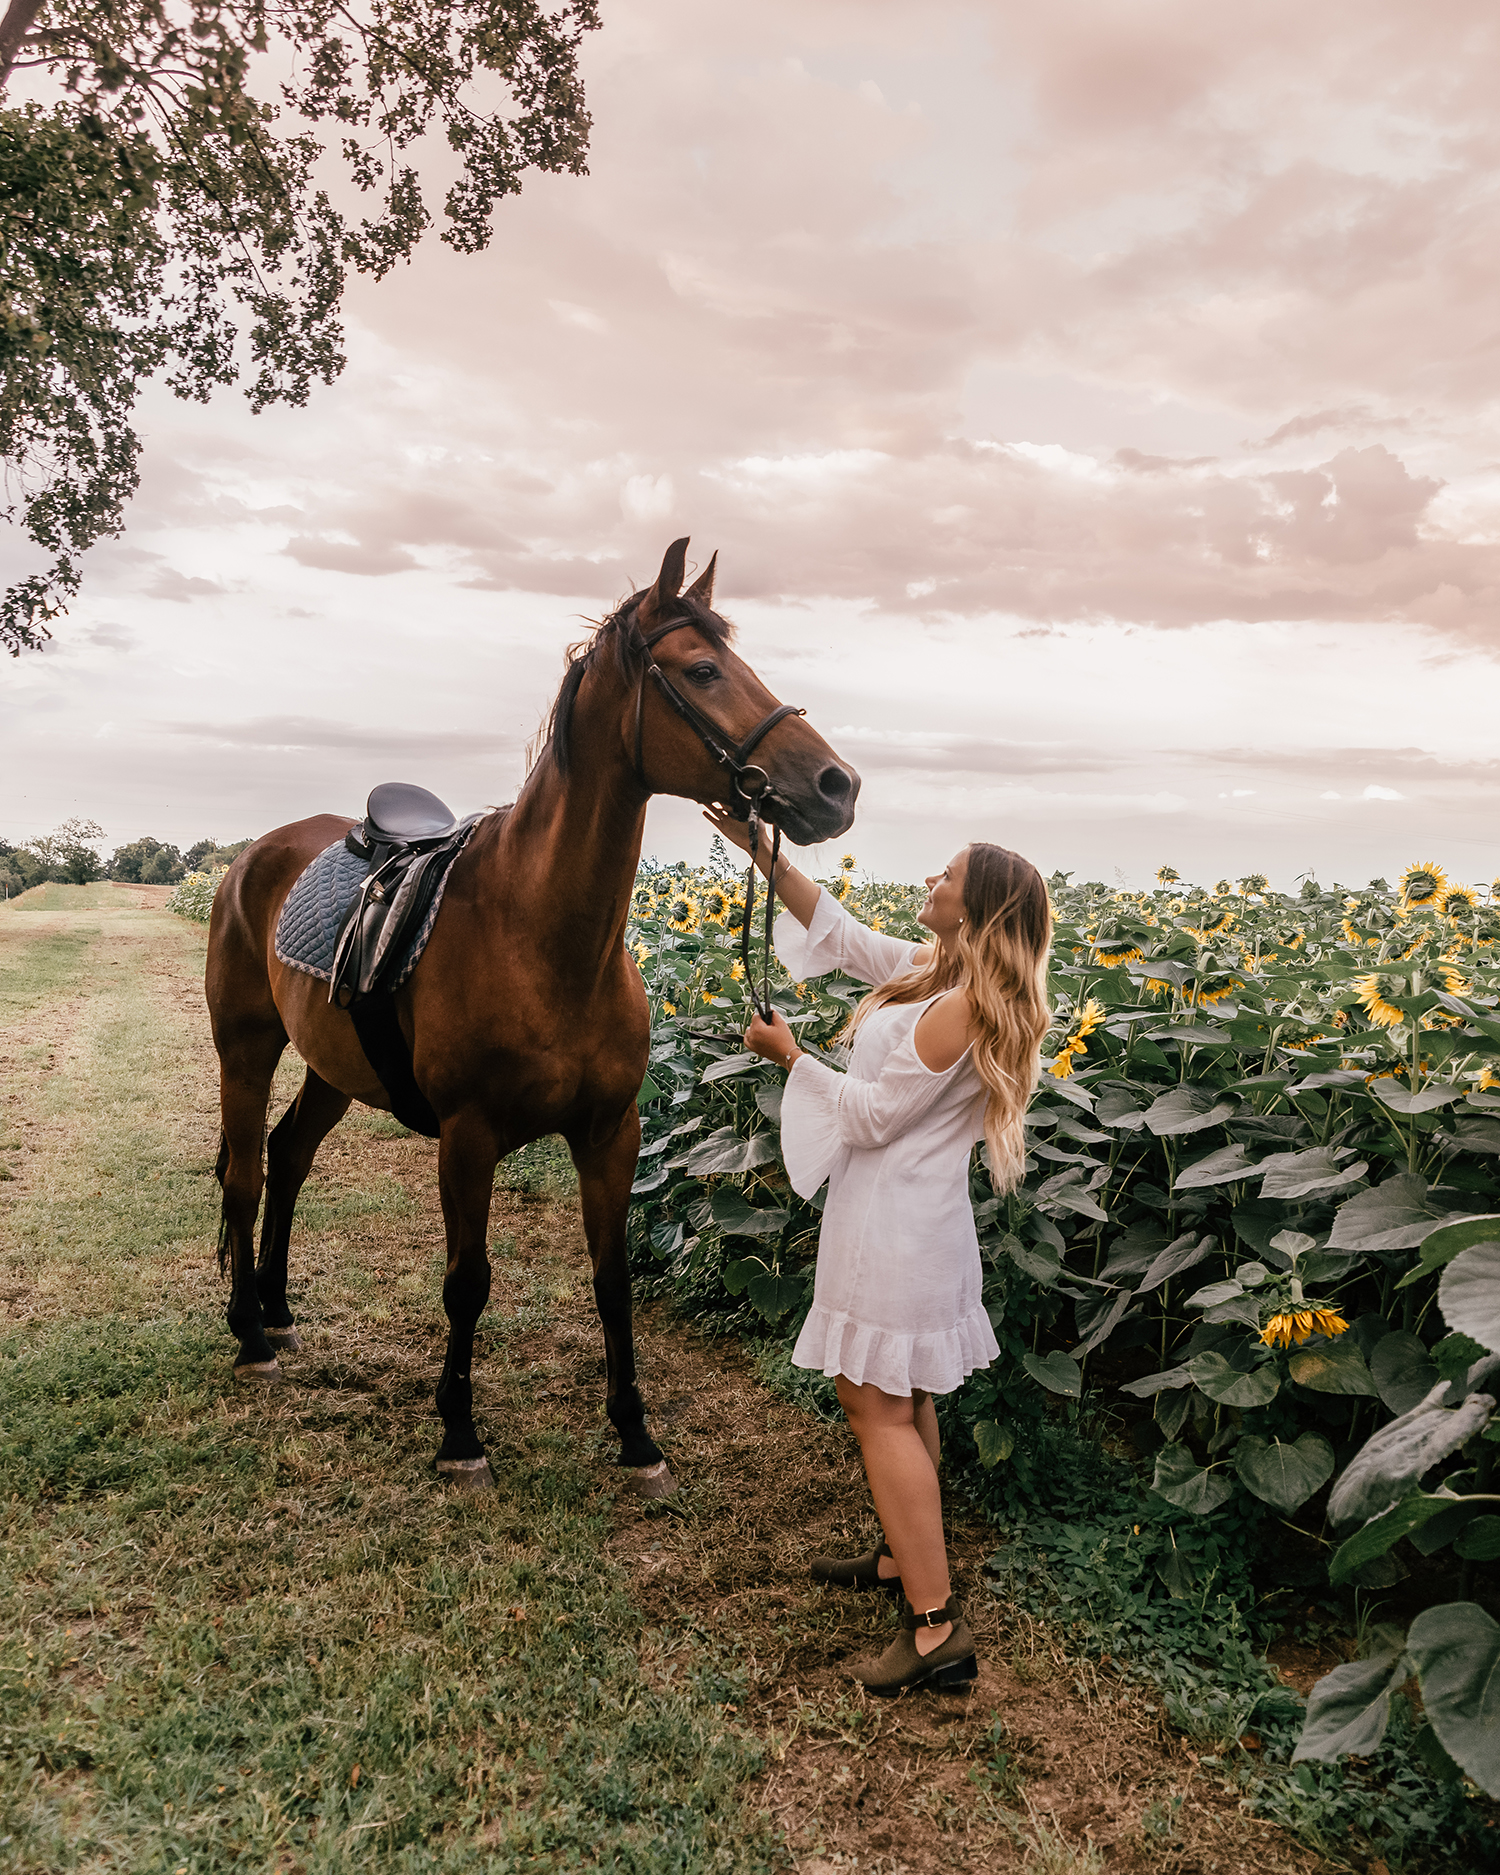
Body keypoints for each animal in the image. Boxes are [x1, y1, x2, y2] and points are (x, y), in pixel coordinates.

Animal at [205, 540, 862, 1492]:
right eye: (702, 670)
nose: (836, 785)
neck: (541, 935)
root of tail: (255, 854)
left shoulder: (611, 1132)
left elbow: (612, 1279)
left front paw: (636, 1436)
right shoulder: (467, 1137)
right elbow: (466, 1281)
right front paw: (459, 1432)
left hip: (333, 1066)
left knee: (289, 1158)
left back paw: (280, 1310)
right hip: (246, 1049)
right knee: (248, 1174)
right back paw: (252, 1333)